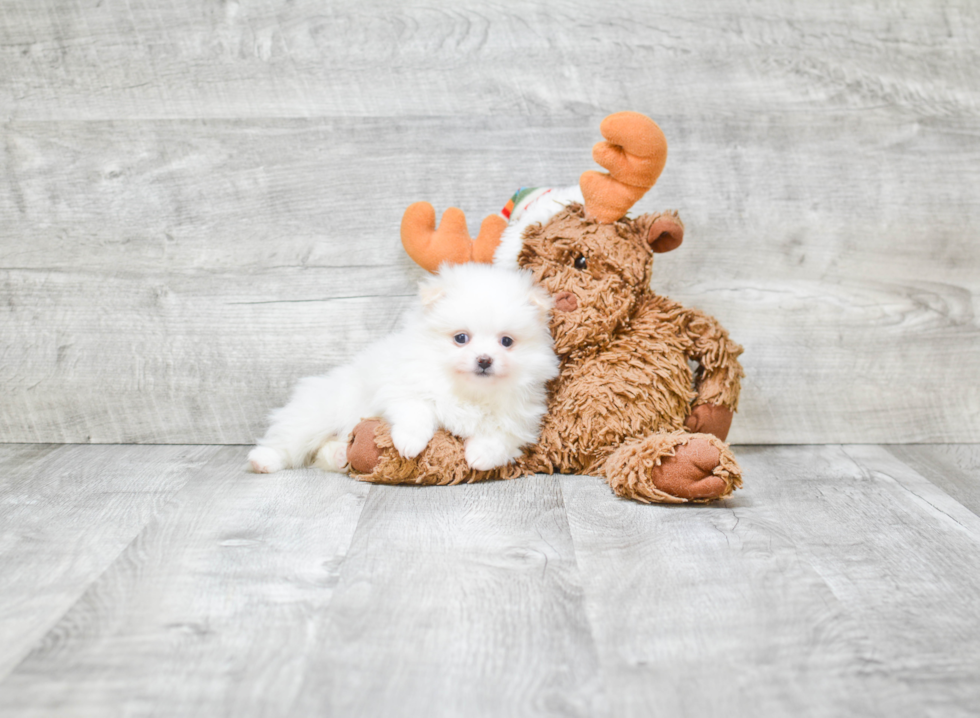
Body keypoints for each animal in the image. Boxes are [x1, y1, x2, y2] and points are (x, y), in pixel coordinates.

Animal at [249, 262, 560, 476]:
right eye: (461, 338)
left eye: (506, 342)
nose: (484, 360)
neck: (469, 391)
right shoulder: (405, 389)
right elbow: (416, 413)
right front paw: (410, 443)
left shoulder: (519, 417)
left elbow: (501, 436)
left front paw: (481, 456)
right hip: (317, 414)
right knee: (290, 440)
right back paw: (264, 460)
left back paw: (340, 456)